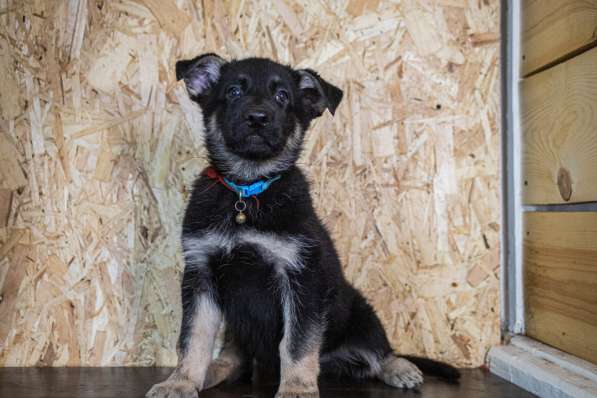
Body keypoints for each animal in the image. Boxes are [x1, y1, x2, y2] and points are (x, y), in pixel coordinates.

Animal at [147, 53, 458, 398]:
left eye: (283, 96)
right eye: (233, 92)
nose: (258, 118)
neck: (248, 190)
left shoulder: (301, 276)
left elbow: (296, 342)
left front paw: (297, 387)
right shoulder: (201, 273)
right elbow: (193, 338)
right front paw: (181, 381)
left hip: (359, 311)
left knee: (379, 350)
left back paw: (400, 368)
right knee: (235, 356)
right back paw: (215, 370)